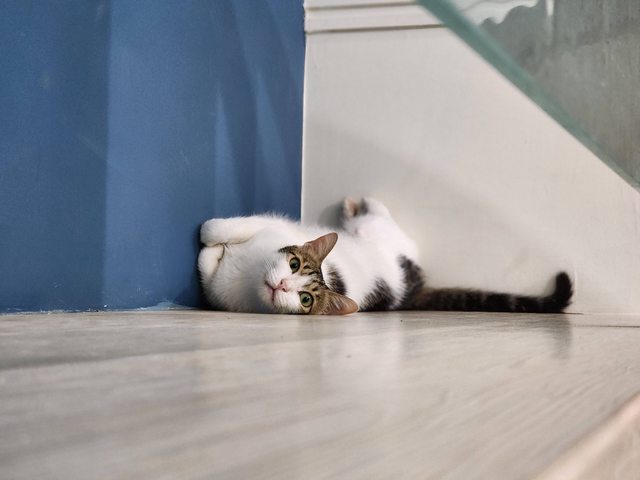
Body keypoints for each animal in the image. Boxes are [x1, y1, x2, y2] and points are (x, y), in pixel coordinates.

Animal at [198, 197, 573, 315]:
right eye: (293, 263)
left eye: (305, 299)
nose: (282, 287)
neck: (247, 276)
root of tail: (416, 283)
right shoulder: (270, 227)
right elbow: (229, 231)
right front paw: (216, 241)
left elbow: (206, 256)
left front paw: (210, 244)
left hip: (380, 233)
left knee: (382, 218)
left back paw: (355, 205)